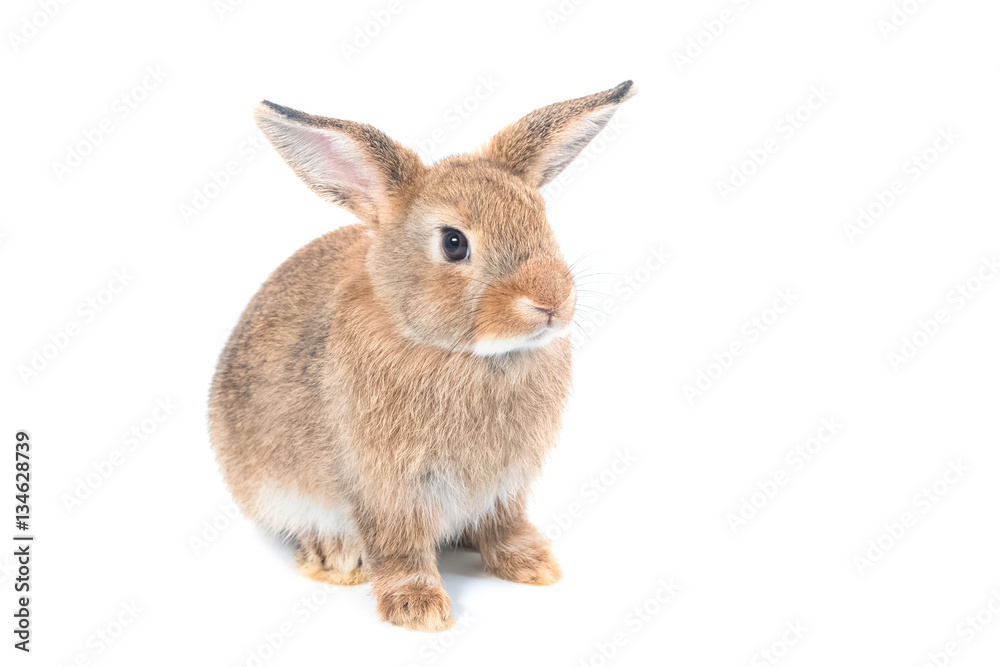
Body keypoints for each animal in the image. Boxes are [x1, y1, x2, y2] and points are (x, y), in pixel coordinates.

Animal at [209, 80, 636, 632]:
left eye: (542, 220)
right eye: (454, 243)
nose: (551, 302)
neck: (461, 353)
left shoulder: (506, 486)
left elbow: (504, 526)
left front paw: (532, 566)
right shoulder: (387, 487)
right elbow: (400, 546)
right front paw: (418, 609)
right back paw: (335, 557)